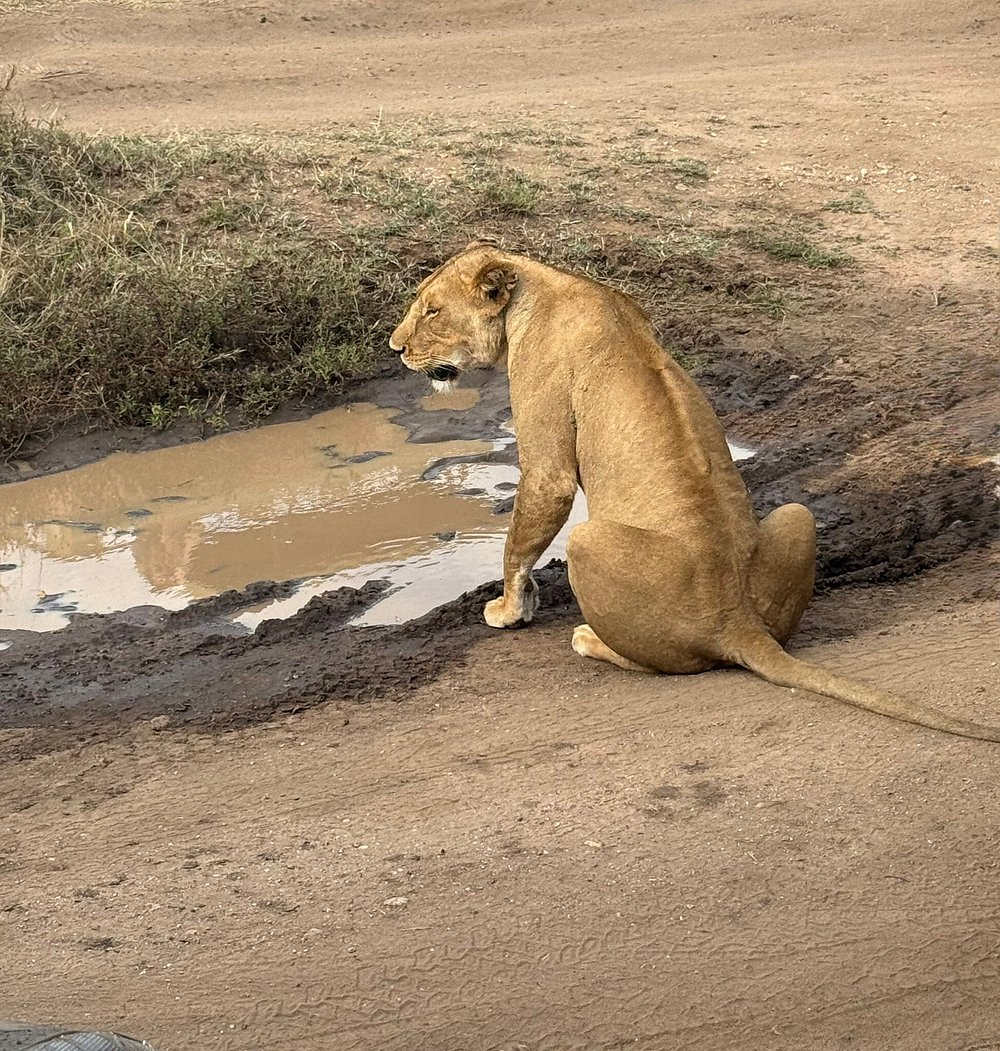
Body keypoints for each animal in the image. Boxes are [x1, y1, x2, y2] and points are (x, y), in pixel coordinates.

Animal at [390, 242, 1000, 742]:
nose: (396, 349)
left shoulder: (548, 462)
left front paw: (509, 610)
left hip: (589, 541)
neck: (542, 285)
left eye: (432, 310)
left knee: (660, 661)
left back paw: (589, 638)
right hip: (797, 516)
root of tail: (736, 623)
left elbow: (520, 538)